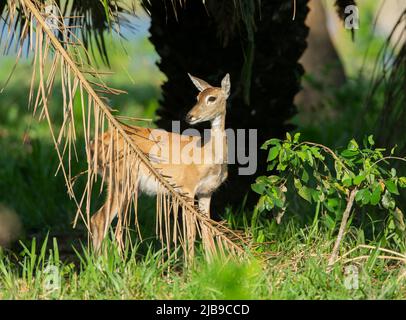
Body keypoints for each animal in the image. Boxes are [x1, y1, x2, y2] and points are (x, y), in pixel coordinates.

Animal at [91, 74, 232, 251]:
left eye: (211, 98)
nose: (189, 116)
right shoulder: (187, 188)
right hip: (123, 180)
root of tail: (93, 145)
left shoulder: (206, 192)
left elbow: (207, 236)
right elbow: (191, 233)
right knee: (101, 220)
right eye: (197, 97)